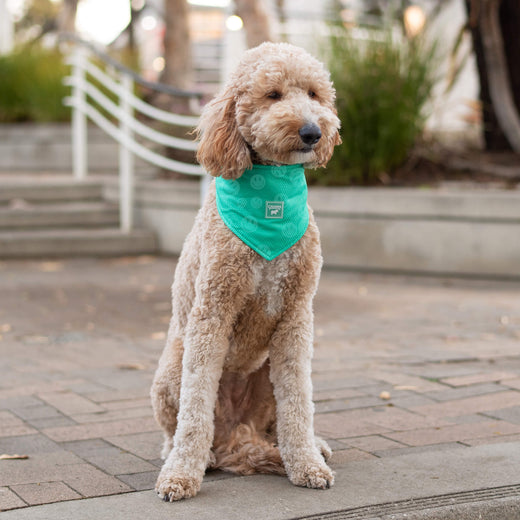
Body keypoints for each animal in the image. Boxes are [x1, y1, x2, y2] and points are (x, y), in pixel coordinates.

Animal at [150, 42, 344, 502]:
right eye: (273, 95)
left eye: (314, 94)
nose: (313, 132)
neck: (270, 198)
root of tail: (234, 433)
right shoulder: (211, 314)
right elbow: (195, 410)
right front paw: (181, 475)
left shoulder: (296, 318)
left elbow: (298, 403)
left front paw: (306, 464)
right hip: (171, 370)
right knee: (178, 428)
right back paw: (187, 456)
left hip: (266, 376)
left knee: (278, 422)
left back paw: (312, 445)